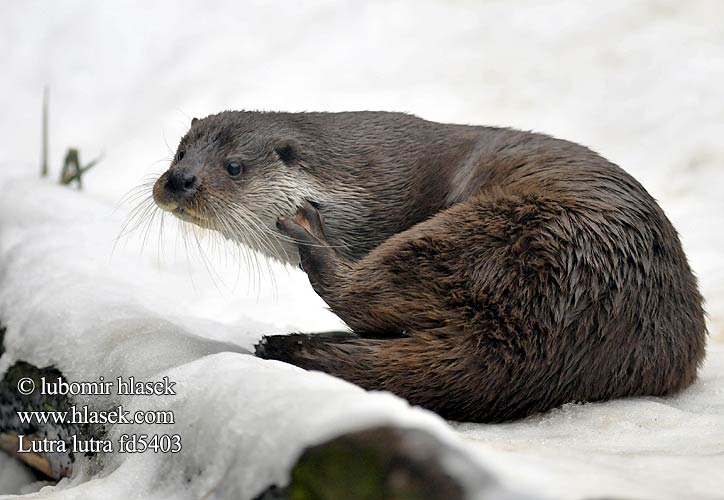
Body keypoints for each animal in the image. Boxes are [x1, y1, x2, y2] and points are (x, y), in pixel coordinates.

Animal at [151, 112, 708, 422]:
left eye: (234, 167)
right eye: (179, 152)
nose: (179, 179)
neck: (365, 189)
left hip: (496, 231)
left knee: (358, 292)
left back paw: (307, 238)